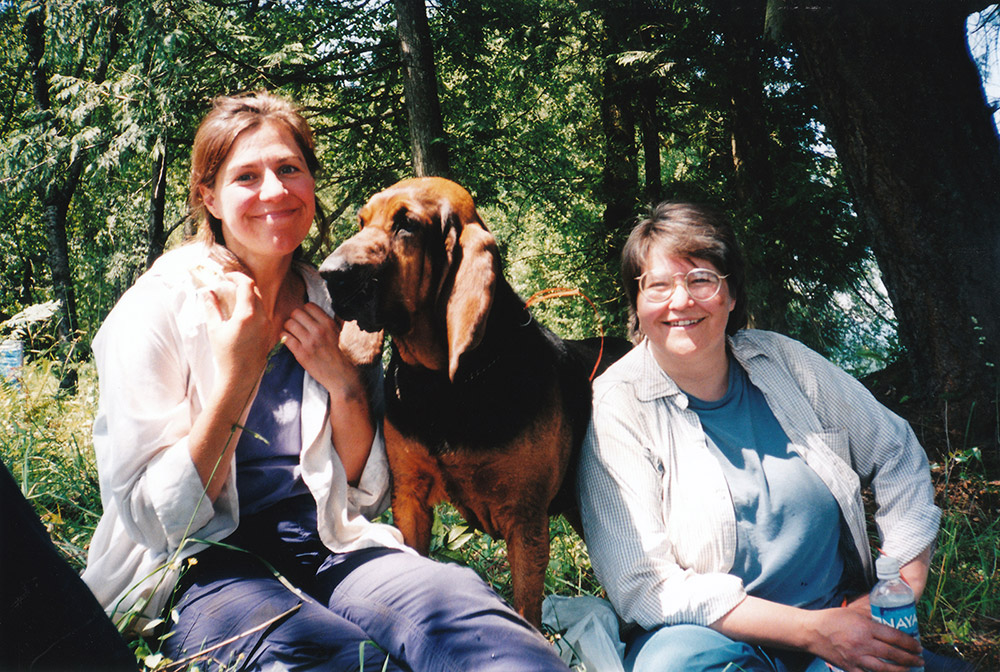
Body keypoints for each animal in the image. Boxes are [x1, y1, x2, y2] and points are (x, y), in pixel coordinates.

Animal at [318, 176, 624, 628]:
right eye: (361, 221)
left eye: (406, 225)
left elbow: (527, 610)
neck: (443, 385)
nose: (329, 274)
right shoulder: (409, 497)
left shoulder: (526, 522)